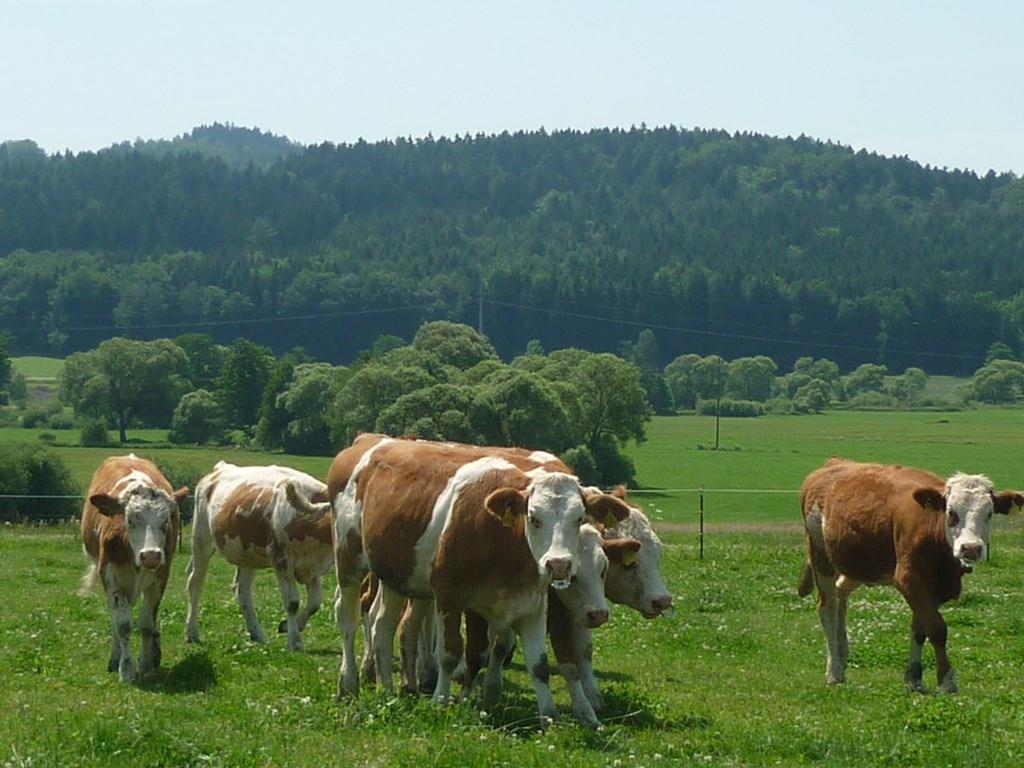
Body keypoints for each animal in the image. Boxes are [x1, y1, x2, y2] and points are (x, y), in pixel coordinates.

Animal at [78, 454, 189, 684]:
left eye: (166, 520)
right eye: (130, 519)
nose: (151, 555)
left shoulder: (160, 578)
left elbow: (147, 623)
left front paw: (146, 663)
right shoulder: (110, 576)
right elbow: (122, 624)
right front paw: (126, 668)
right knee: (114, 618)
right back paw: (115, 658)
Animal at [184, 460, 327, 651]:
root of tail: (220, 468)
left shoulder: (313, 566)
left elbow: (315, 602)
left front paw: (289, 626)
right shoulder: (282, 561)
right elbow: (292, 603)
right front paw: (295, 641)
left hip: (247, 554)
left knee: (242, 590)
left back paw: (257, 633)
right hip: (202, 540)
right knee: (195, 583)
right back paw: (192, 632)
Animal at [329, 436, 630, 724]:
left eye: (578, 518)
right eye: (533, 517)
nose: (559, 564)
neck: (505, 542)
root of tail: (370, 441)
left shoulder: (533, 605)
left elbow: (539, 664)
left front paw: (550, 717)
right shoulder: (449, 596)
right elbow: (450, 653)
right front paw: (440, 702)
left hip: (395, 574)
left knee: (383, 625)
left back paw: (387, 690)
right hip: (348, 559)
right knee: (348, 619)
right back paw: (349, 683)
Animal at [798, 460, 1024, 696]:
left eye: (989, 513)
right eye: (951, 512)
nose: (970, 548)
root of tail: (833, 463)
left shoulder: (932, 586)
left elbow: (920, 628)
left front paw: (914, 677)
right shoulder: (909, 578)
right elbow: (936, 628)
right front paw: (947, 680)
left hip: (858, 563)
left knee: (841, 592)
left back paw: (842, 655)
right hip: (819, 553)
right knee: (828, 608)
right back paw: (834, 671)